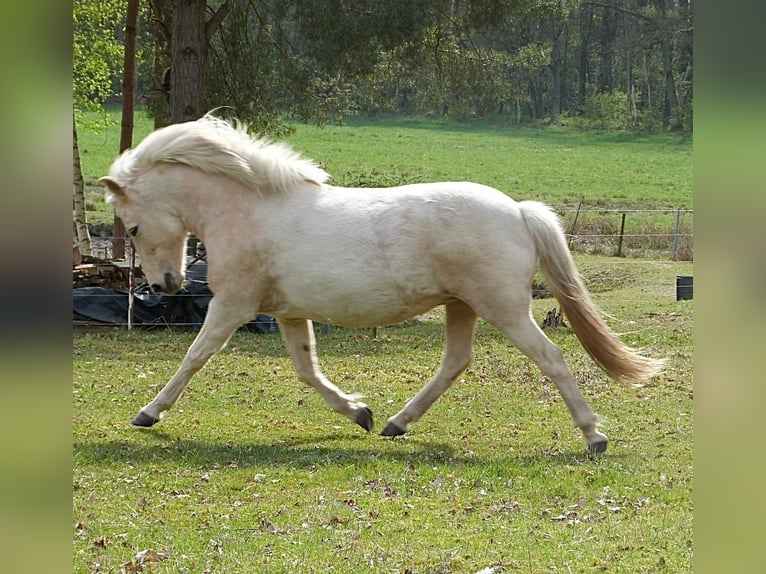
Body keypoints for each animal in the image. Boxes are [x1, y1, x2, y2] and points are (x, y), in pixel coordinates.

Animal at [101, 115, 664, 453]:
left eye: (132, 227)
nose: (166, 285)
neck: (251, 209)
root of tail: (519, 212)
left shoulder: (233, 306)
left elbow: (194, 356)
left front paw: (148, 414)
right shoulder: (287, 312)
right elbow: (307, 370)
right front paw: (359, 413)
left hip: (503, 308)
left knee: (551, 358)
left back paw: (594, 436)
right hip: (461, 306)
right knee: (455, 363)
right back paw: (396, 423)